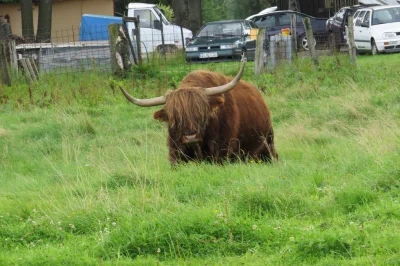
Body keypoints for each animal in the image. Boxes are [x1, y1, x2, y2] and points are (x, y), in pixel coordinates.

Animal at [119, 59, 278, 164]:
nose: (191, 137)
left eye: (201, 115)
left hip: (268, 145)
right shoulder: (175, 155)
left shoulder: (222, 154)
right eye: (175, 118)